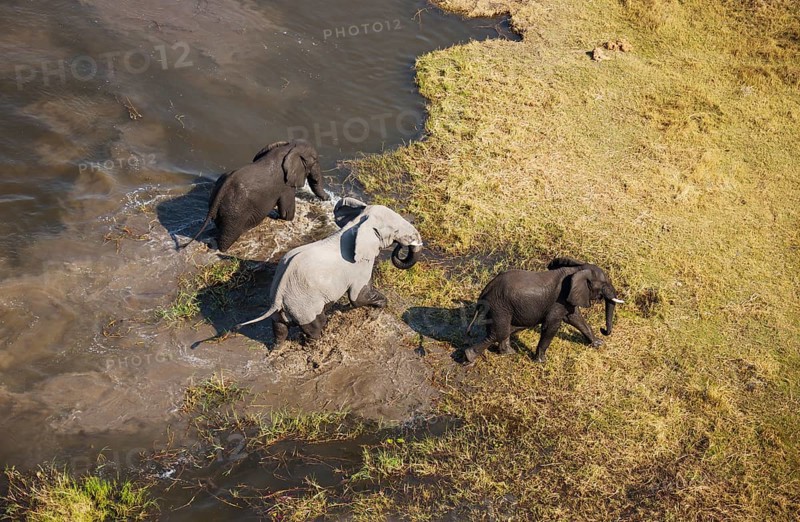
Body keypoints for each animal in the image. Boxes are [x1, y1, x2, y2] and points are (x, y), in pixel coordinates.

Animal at [181, 139, 328, 252]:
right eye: (315, 160)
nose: (328, 198)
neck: (289, 147)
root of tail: (221, 191)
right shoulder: (285, 185)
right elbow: (287, 212)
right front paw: (286, 218)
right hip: (235, 212)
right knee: (228, 237)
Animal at [231, 197, 422, 343]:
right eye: (396, 231)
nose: (401, 247)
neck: (360, 222)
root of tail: (278, 297)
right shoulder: (359, 264)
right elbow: (358, 297)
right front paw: (378, 308)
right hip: (304, 306)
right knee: (316, 326)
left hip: (284, 309)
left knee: (279, 328)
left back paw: (277, 348)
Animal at [463, 257, 624, 364]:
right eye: (603, 285)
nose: (603, 329)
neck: (577, 269)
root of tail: (485, 291)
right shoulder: (559, 300)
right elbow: (551, 326)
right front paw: (541, 362)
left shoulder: (567, 299)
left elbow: (575, 319)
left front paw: (598, 343)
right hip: (498, 306)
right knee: (499, 332)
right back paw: (469, 357)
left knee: (505, 330)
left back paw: (508, 353)